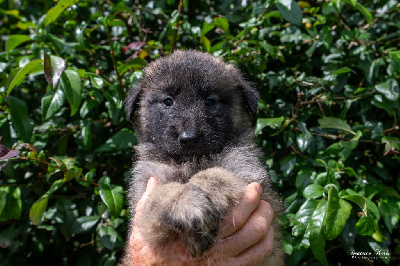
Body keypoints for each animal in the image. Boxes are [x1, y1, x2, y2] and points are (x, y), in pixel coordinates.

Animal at [125, 49, 284, 264]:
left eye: (210, 101)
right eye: (168, 101)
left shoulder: (246, 170)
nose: (189, 138)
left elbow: (215, 174)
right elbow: (162, 193)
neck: (191, 161)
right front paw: (186, 203)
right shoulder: (144, 192)